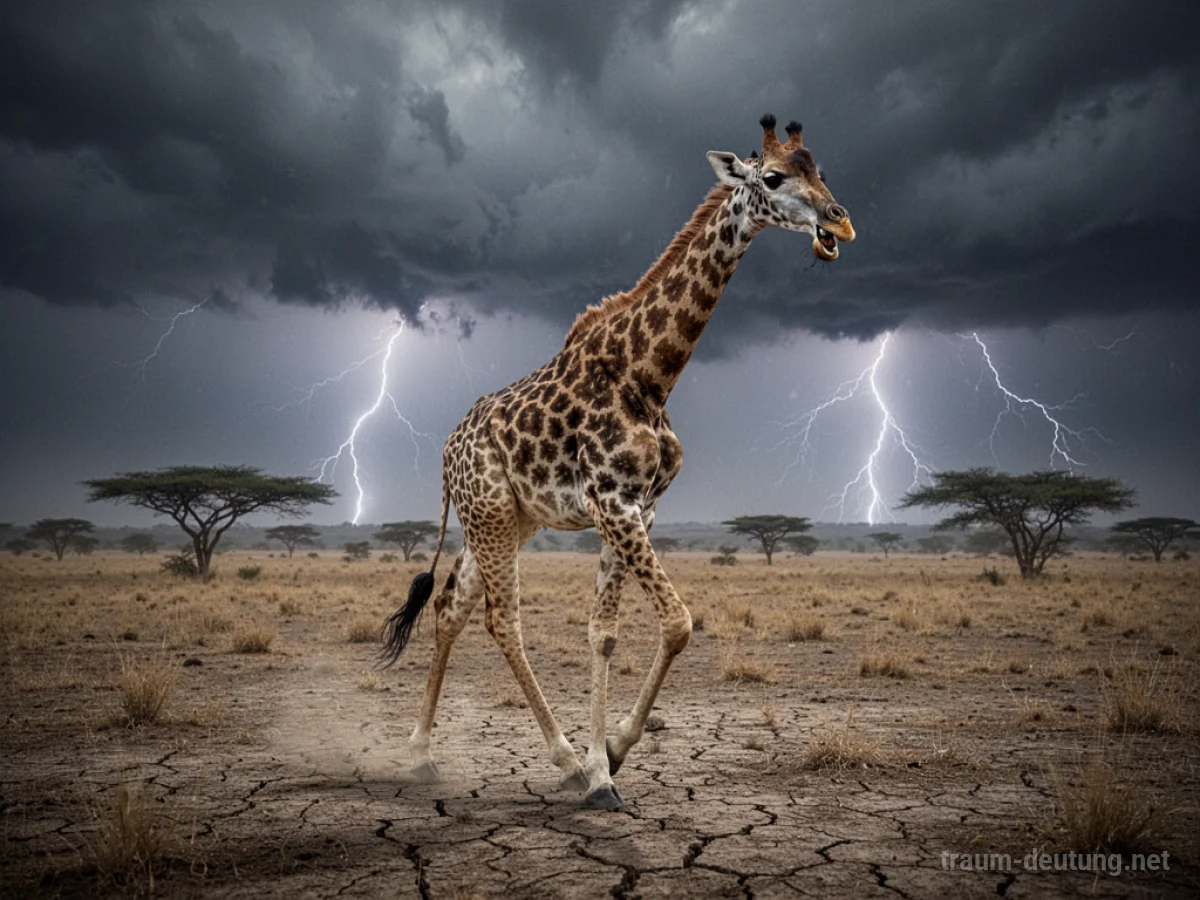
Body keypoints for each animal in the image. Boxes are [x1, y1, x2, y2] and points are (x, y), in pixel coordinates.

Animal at [381, 114, 856, 810]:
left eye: (821, 171)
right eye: (772, 177)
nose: (838, 223)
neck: (650, 377)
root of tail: (446, 452)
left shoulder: (639, 509)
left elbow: (603, 633)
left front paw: (610, 755)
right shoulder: (611, 502)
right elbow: (679, 622)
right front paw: (601, 768)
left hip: (505, 520)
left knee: (449, 608)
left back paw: (420, 754)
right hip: (490, 515)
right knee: (502, 619)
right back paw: (559, 760)